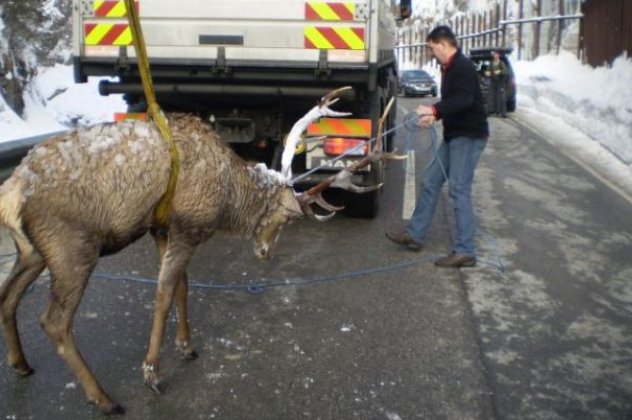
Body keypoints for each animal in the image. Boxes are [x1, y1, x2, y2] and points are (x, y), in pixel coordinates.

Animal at [0, 87, 402, 416]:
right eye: (287, 219)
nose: (267, 252)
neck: (228, 199)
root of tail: (14, 189)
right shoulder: (188, 227)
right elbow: (164, 293)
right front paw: (152, 372)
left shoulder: (165, 229)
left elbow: (183, 285)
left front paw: (187, 346)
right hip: (71, 246)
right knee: (54, 321)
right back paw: (104, 398)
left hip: (33, 250)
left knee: (8, 297)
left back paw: (21, 363)